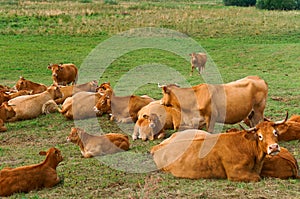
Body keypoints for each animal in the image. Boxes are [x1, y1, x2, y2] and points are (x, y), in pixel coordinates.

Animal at [150, 114, 288, 183]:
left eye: (275, 132)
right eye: (260, 136)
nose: (273, 147)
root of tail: (159, 146)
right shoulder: (235, 173)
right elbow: (257, 177)